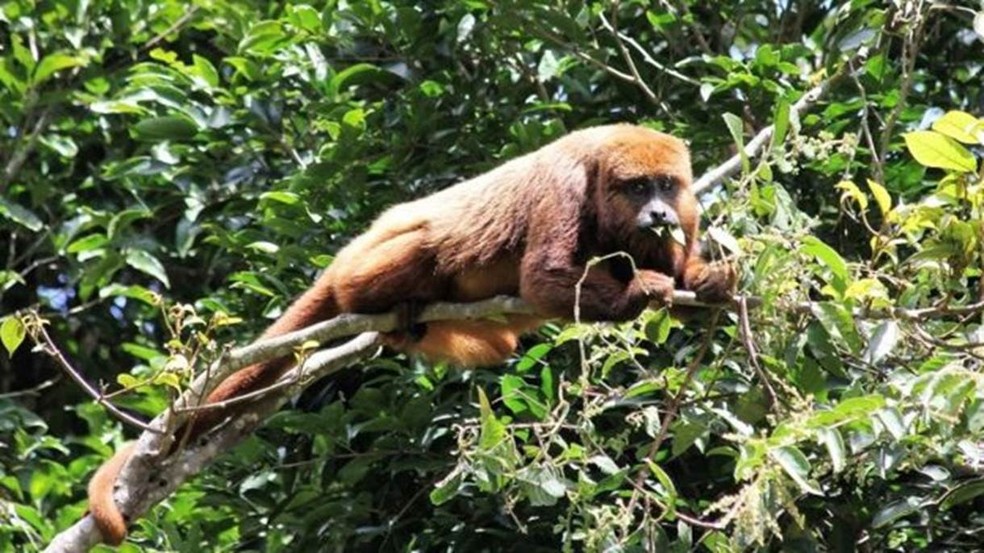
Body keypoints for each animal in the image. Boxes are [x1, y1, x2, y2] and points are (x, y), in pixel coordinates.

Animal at [88, 123, 736, 540]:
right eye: (636, 187)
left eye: (667, 185)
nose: (658, 214)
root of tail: (346, 255)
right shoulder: (565, 184)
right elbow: (544, 277)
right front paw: (643, 290)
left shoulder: (686, 215)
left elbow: (681, 270)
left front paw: (709, 280)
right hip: (368, 264)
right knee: (425, 245)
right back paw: (386, 302)